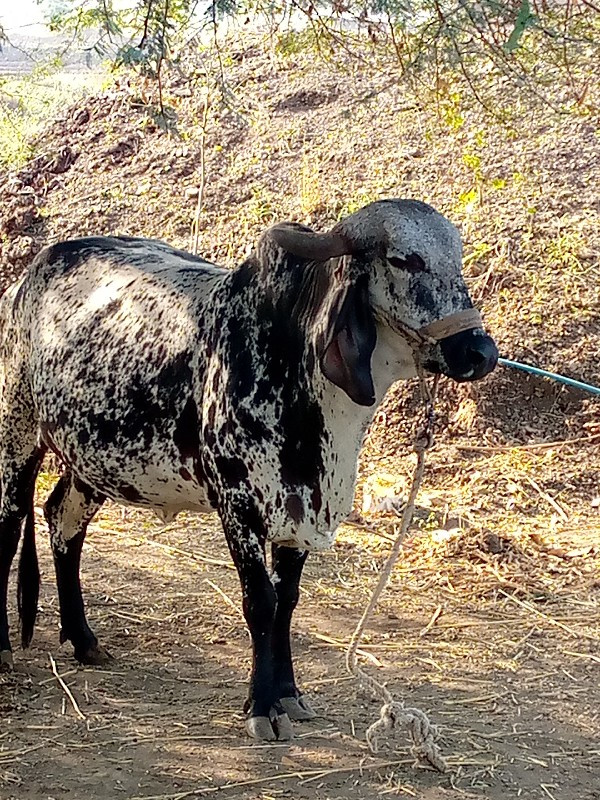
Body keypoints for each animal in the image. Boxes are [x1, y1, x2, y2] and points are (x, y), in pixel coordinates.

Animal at [0, 198, 496, 736]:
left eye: (457, 257)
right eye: (405, 260)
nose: (480, 352)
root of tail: (35, 269)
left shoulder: (301, 512)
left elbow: (287, 603)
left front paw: (289, 693)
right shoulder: (239, 507)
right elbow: (261, 603)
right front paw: (261, 705)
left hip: (93, 459)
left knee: (62, 521)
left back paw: (83, 639)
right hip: (18, 430)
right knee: (11, 525)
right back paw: (5, 648)